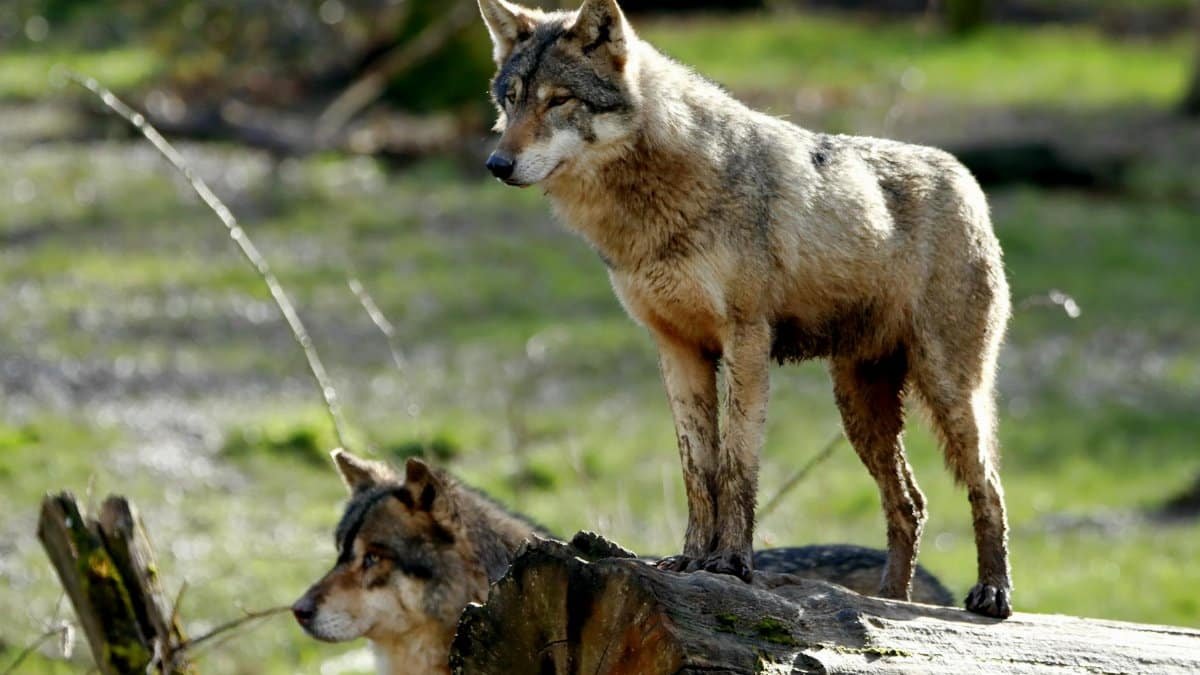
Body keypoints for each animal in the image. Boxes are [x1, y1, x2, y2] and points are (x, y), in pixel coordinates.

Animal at [476, 0, 1013, 618]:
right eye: (511, 99)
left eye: (559, 100)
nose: (496, 164)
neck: (650, 211)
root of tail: (963, 173)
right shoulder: (676, 349)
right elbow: (698, 469)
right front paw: (690, 561)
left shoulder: (746, 342)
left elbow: (736, 467)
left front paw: (731, 563)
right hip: (860, 410)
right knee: (911, 502)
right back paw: (893, 604)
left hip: (948, 391)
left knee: (988, 486)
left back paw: (992, 594)